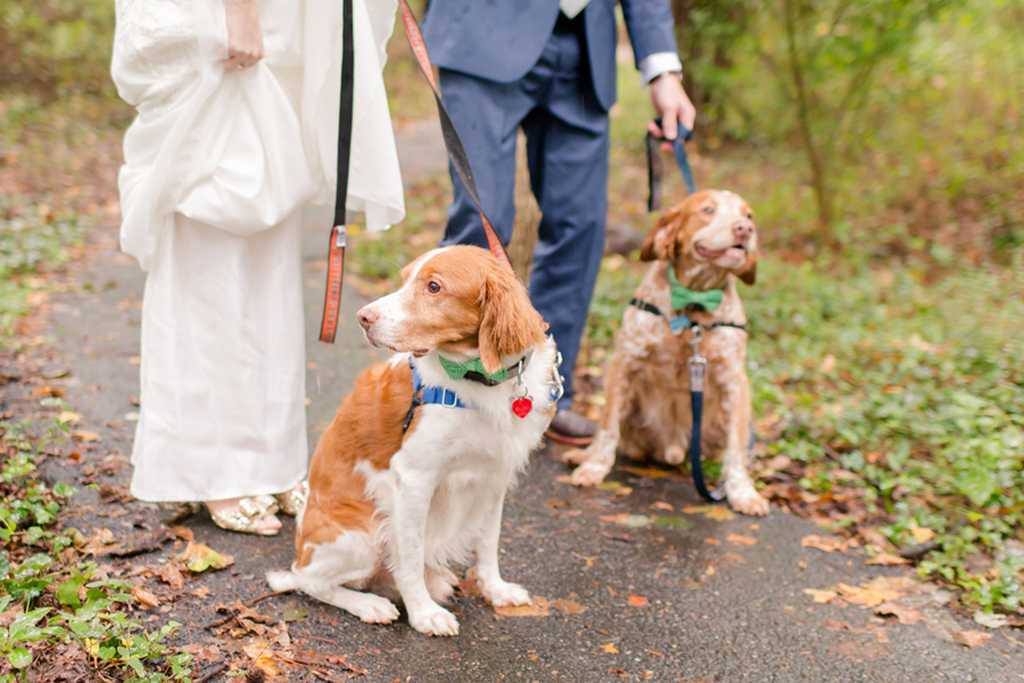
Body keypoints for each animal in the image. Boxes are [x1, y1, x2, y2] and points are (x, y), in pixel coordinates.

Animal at [266, 245, 561, 634]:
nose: (363, 317)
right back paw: (370, 604)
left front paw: (495, 590)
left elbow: (488, 542)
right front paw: (423, 614)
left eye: (434, 287)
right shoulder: (413, 480)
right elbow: (410, 557)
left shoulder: (494, 478)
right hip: (360, 537)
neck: (481, 381)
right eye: (405, 279)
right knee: (307, 580)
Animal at [561, 189, 770, 516]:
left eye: (748, 215)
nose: (745, 229)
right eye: (708, 210)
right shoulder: (624, 362)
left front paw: (743, 493)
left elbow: (735, 451)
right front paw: (594, 467)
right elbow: (607, 428)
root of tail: (671, 450)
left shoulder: (735, 381)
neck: (693, 303)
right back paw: (583, 455)